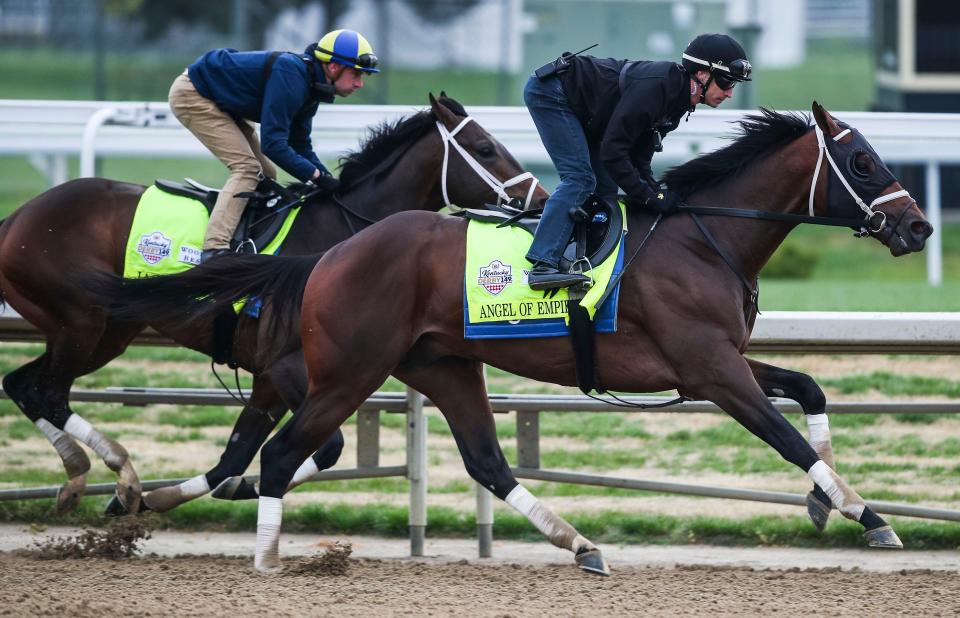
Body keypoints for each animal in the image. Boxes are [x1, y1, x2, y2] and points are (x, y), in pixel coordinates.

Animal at [0, 92, 548, 516]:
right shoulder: (291, 368)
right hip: (84, 322)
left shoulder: (268, 375)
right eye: (485, 148)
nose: (541, 199)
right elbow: (326, 447)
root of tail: (17, 217)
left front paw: (193, 493)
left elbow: (237, 457)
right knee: (47, 393)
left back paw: (87, 480)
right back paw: (116, 473)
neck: (342, 230)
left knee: (23, 385)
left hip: (103, 330)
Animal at [88, 102, 928, 572]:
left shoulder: (718, 363)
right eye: (862, 160)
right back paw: (260, 558)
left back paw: (582, 546)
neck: (705, 238)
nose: (918, 227)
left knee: (485, 462)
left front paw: (827, 501)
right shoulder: (712, 371)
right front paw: (867, 514)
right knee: (281, 453)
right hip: (349, 373)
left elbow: (809, 390)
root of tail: (325, 255)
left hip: (443, 366)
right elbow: (782, 434)